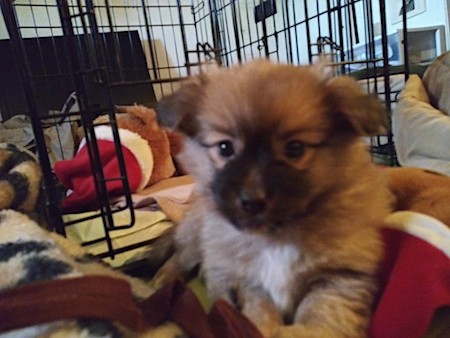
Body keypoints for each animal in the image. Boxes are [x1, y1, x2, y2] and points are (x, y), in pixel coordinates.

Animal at [156, 61, 394, 338]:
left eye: (295, 148)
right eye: (225, 148)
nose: (252, 200)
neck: (276, 234)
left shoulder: (340, 277)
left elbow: (323, 317)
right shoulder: (247, 281)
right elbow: (258, 315)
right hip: (196, 238)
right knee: (178, 258)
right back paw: (160, 284)